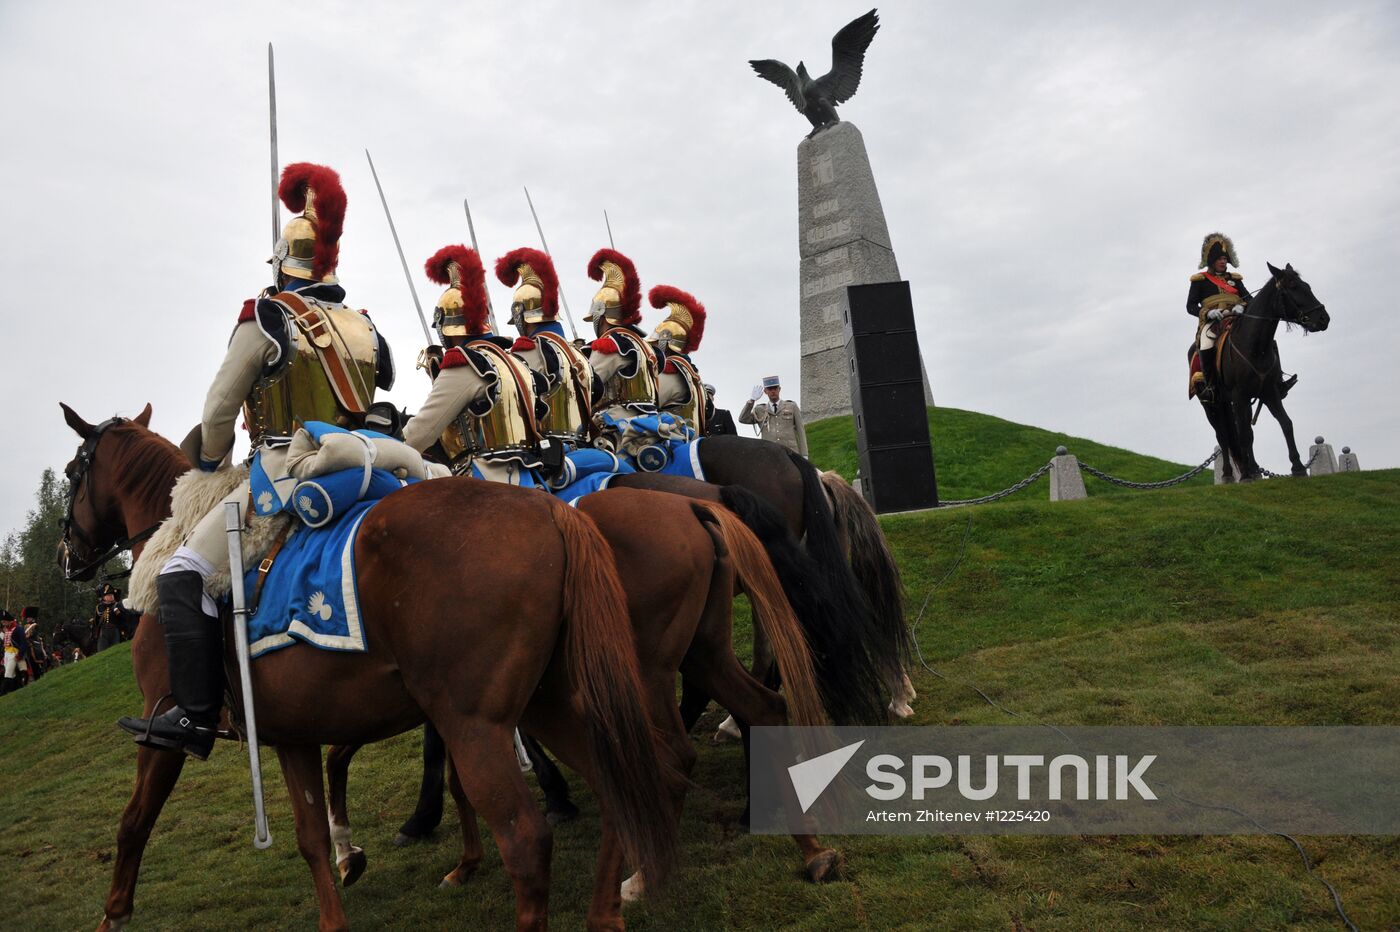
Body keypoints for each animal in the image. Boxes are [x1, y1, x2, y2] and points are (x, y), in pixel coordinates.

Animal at [57, 405, 680, 929]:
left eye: (71, 474)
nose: (67, 557)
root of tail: (550, 510)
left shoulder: (164, 729)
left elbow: (135, 820)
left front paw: (113, 915)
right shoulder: (296, 733)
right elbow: (311, 831)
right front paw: (346, 871)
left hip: (477, 726)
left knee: (527, 841)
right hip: (550, 703)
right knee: (616, 787)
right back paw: (609, 908)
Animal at [322, 481, 834, 895]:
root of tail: (690, 504)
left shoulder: (460, 703)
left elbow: (363, 758)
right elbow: (443, 775)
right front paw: (460, 858)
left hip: (649, 668)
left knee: (678, 751)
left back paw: (649, 870)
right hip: (704, 650)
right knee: (762, 706)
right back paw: (806, 847)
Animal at [1198, 261, 1327, 478]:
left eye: (1307, 286)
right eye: (1293, 287)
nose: (1324, 319)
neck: (1254, 347)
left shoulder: (1268, 392)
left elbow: (1286, 423)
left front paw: (1298, 466)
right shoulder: (1239, 395)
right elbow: (1242, 435)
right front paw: (1245, 476)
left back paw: (1254, 468)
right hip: (1213, 406)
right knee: (1223, 437)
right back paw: (1229, 473)